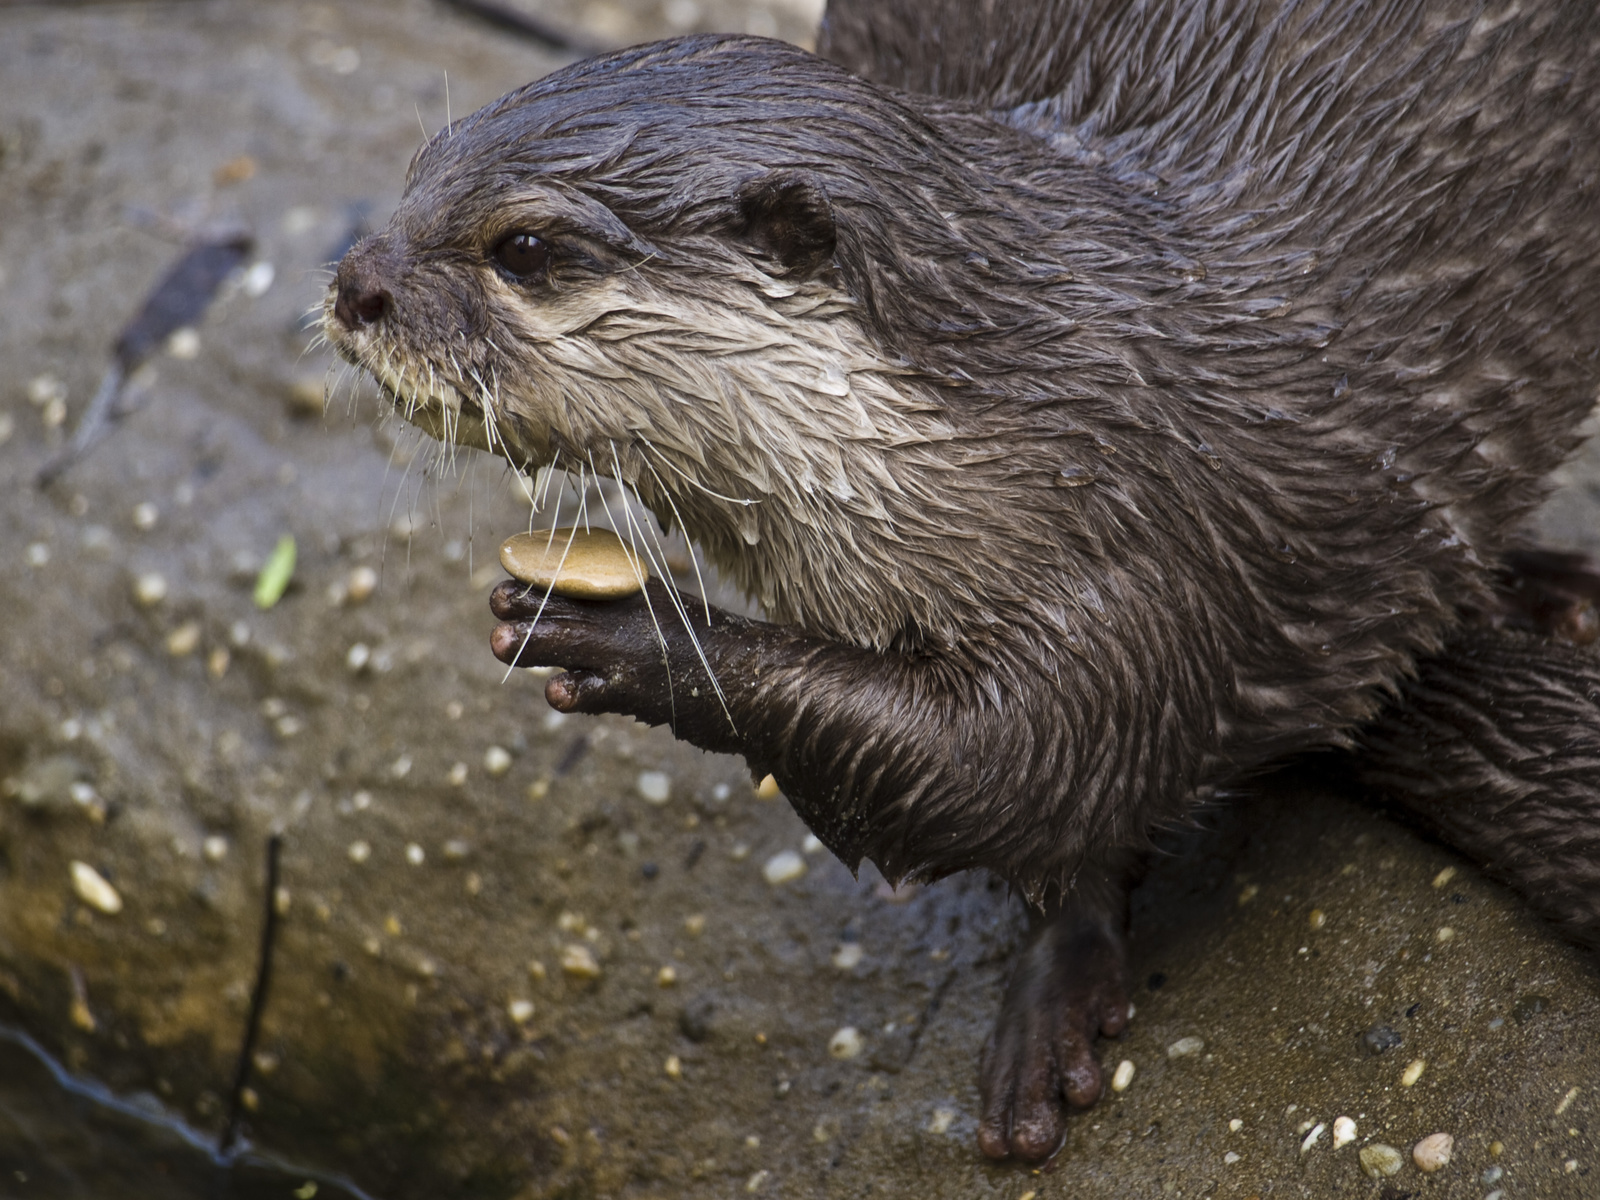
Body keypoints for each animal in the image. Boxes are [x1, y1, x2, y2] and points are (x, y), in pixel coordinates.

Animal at [321, 0, 1600, 1164]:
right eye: (419, 173)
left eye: (526, 250)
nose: (353, 284)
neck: (1030, 424)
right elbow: (1039, 813)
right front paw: (1060, 982)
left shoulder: (1139, 558)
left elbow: (1006, 765)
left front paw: (635, 642)